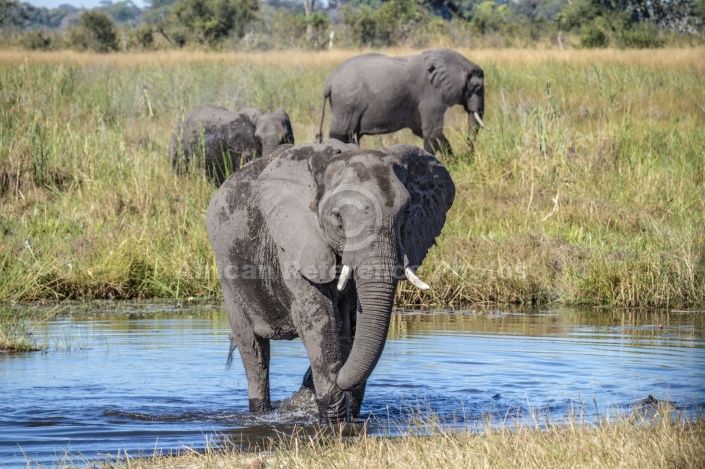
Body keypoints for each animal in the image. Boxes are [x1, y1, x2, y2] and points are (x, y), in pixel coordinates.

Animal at [206, 141, 454, 422]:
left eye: (406, 213)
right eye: (338, 218)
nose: (304, 390)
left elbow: (353, 326)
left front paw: (345, 411)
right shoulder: (294, 242)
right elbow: (319, 321)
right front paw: (332, 418)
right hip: (228, 271)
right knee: (253, 350)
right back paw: (261, 411)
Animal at [318, 48, 484, 156]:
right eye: (477, 88)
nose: (468, 154)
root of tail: (329, 82)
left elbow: (424, 131)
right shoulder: (432, 95)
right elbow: (432, 131)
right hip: (346, 104)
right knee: (340, 134)